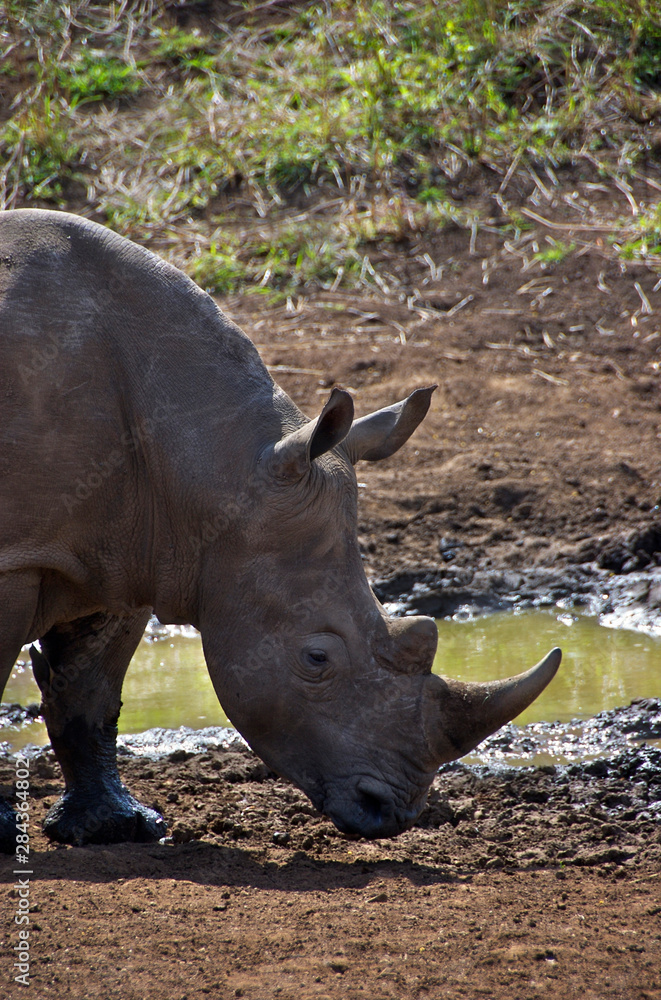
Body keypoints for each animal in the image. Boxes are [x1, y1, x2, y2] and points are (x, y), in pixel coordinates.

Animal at [0, 209, 561, 850]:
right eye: (316, 658)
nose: (391, 813)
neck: (208, 461)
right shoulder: (21, 553)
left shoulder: (130, 550)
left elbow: (91, 691)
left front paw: (117, 828)